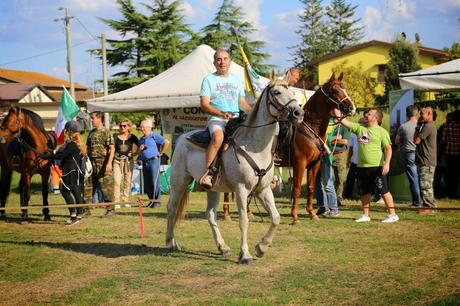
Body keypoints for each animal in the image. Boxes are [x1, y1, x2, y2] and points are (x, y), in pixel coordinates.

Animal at [166, 82, 306, 264]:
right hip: (179, 182)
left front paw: (261, 248)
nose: (298, 113)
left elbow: (275, 217)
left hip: (212, 189)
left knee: (210, 214)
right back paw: (171, 243)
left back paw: (222, 247)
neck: (254, 146)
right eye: (277, 92)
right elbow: (244, 220)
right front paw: (245, 255)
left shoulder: (263, 190)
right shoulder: (241, 189)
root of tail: (183, 137)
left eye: (291, 91)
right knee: (172, 209)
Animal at [276, 73, 356, 224]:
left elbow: (311, 187)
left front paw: (312, 213)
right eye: (334, 90)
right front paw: (295, 217)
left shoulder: (314, 164)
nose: (351, 108)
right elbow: (296, 189)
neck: (310, 128)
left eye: (345, 88)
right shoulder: (300, 164)